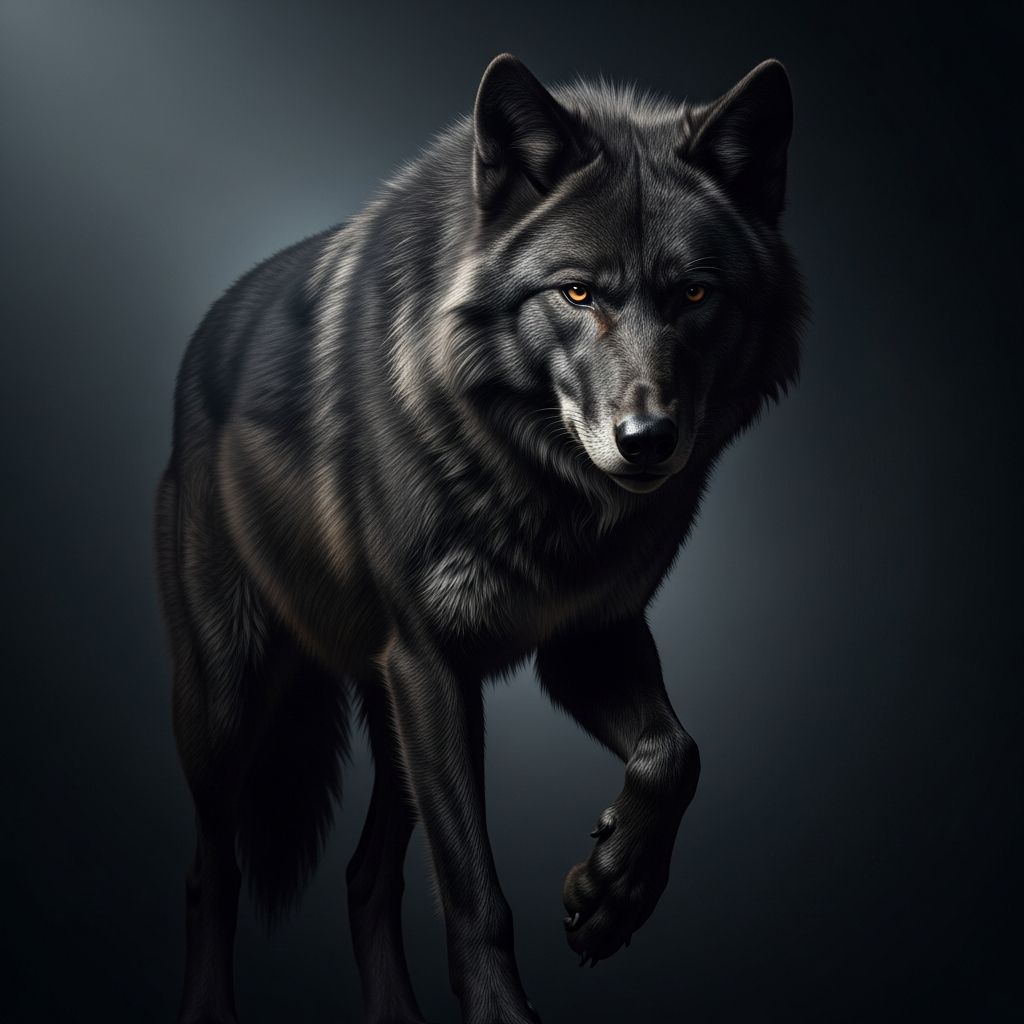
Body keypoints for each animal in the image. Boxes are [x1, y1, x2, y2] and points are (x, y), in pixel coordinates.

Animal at [155, 53, 806, 1023]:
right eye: (577, 292)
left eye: (695, 293)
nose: (647, 440)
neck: (540, 486)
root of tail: (206, 334)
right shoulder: (431, 660)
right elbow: (473, 892)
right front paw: (508, 1007)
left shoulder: (585, 640)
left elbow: (676, 754)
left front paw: (612, 894)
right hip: (231, 705)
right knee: (211, 872)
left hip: (391, 719)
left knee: (364, 876)